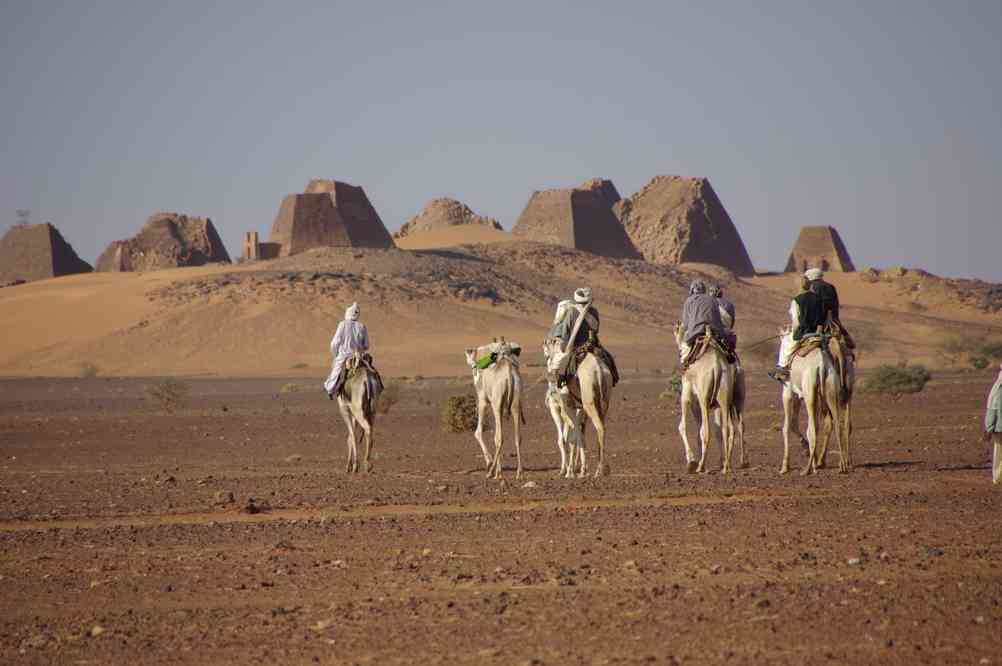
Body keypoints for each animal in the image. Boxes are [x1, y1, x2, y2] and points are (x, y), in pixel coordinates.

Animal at [460, 342, 525, 478]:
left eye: (473, 366)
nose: (474, 372)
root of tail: (508, 373)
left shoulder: (483, 400)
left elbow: (478, 432)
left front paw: (490, 464)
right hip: (515, 402)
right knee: (517, 437)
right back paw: (519, 472)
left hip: (497, 403)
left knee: (499, 438)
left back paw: (493, 472)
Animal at [545, 338, 613, 478]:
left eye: (550, 342)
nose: (544, 342)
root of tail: (598, 369)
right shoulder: (579, 409)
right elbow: (578, 435)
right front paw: (581, 469)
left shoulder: (564, 407)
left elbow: (568, 438)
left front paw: (568, 471)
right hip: (604, 400)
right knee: (601, 425)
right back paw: (602, 468)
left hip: (589, 402)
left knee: (600, 427)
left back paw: (599, 470)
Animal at [673, 322, 737, 472]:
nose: (680, 353)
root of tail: (717, 366)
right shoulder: (699, 404)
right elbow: (702, 431)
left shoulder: (687, 398)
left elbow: (682, 427)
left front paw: (691, 461)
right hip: (724, 397)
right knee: (727, 429)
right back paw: (726, 465)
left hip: (704, 399)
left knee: (707, 431)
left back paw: (701, 466)